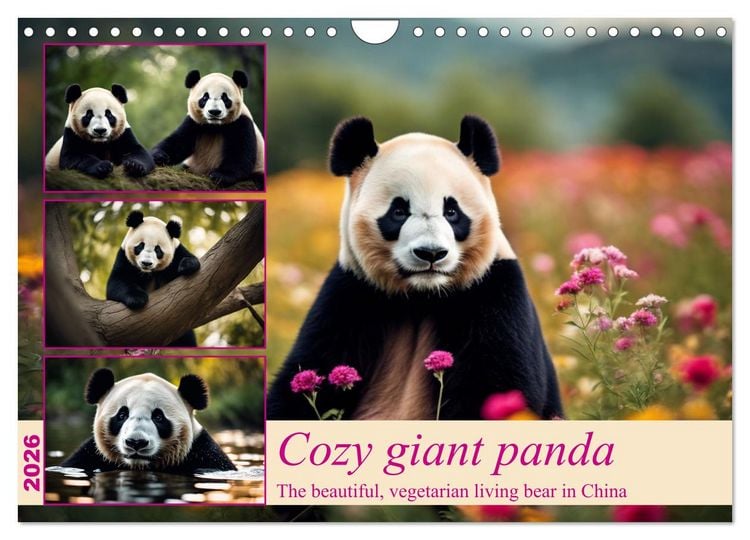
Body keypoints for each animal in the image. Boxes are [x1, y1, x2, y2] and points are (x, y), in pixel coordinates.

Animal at [106, 210, 201, 347]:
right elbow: (117, 282)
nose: (146, 263)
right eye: (140, 246)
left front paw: (186, 265)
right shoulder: (124, 258)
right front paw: (138, 298)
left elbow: (191, 260)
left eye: (158, 250)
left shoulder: (176, 253)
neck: (148, 273)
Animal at [267, 115, 563, 420]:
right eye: (398, 212)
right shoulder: (351, 295)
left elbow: (498, 385)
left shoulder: (495, 293)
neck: (422, 297)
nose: (430, 253)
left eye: (452, 212)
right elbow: (305, 376)